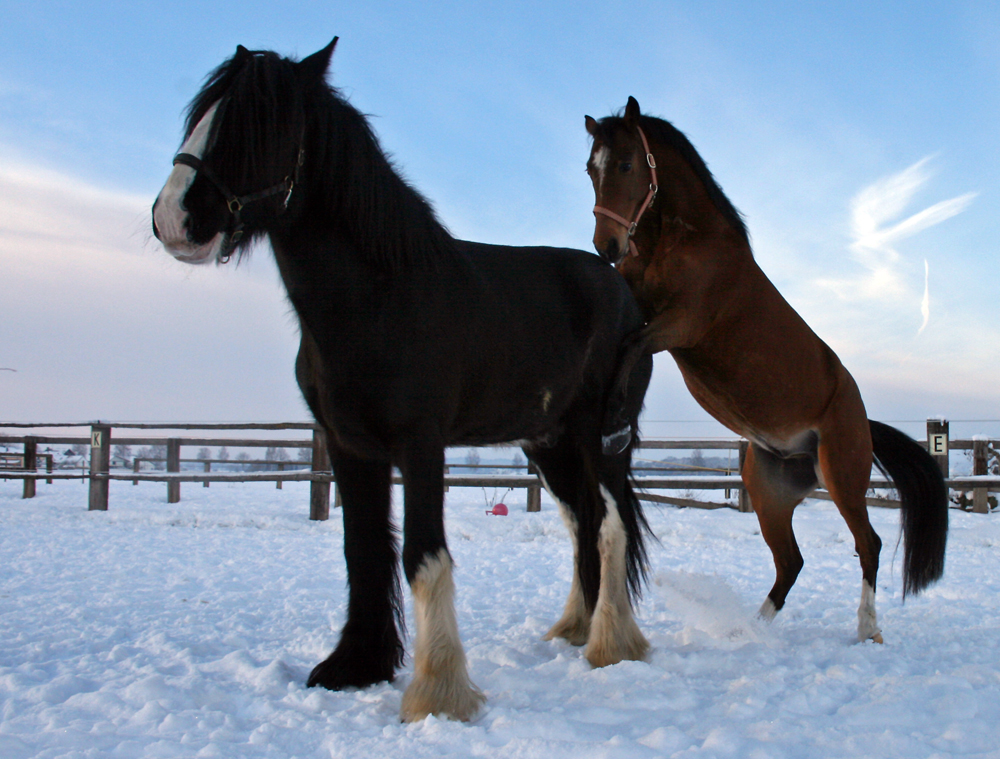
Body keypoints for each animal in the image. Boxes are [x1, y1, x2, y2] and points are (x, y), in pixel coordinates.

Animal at [152, 40, 652, 724]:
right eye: (201, 115)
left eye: (260, 122)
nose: (174, 218)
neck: (379, 297)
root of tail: (623, 294)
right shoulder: (348, 445)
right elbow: (362, 550)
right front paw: (354, 666)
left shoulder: (420, 444)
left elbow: (423, 555)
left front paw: (437, 692)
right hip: (548, 444)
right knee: (582, 522)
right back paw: (575, 629)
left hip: (599, 437)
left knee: (609, 526)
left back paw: (610, 645)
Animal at [584, 95, 948, 640]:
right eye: (591, 169)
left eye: (627, 165)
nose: (606, 246)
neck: (683, 243)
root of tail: (863, 420)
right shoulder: (643, 307)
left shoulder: (680, 325)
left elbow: (631, 348)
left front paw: (612, 427)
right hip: (768, 491)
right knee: (790, 563)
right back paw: (748, 630)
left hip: (842, 476)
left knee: (868, 545)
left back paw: (867, 628)